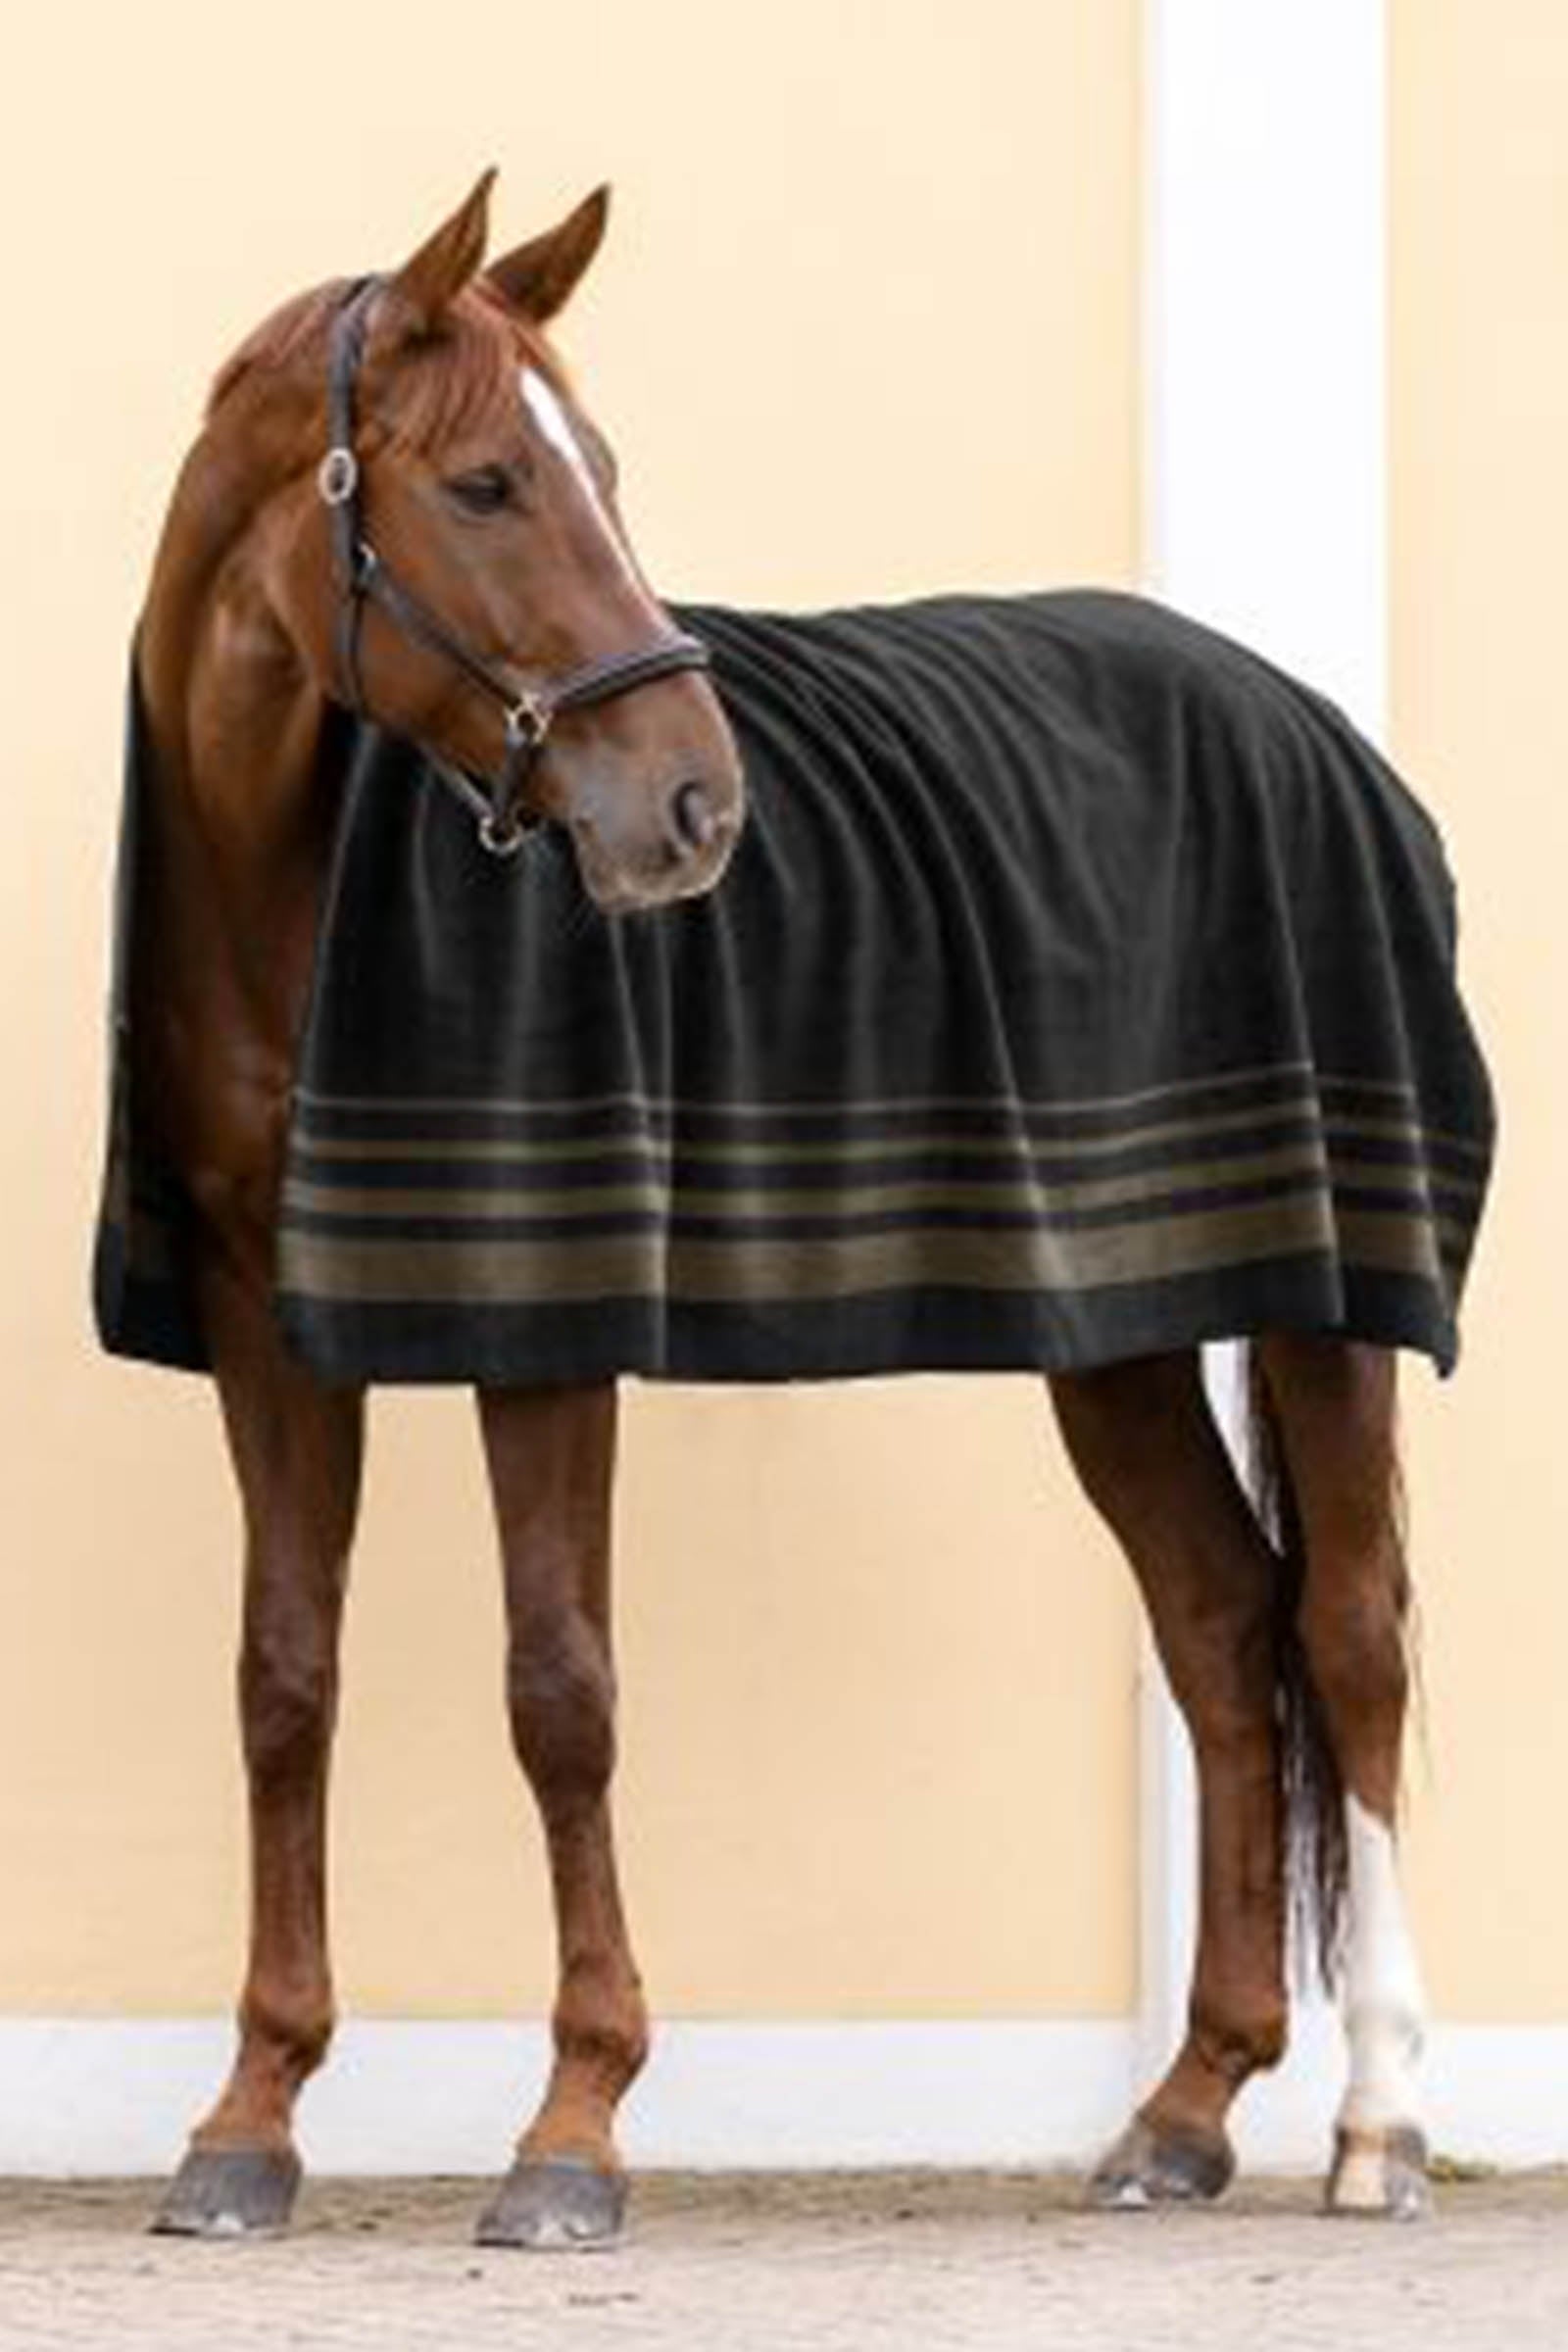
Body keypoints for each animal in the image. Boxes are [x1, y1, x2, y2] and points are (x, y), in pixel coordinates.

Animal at [99, 170, 1492, 2247]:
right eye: (490, 482)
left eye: (602, 468)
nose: (695, 811)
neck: (283, 899)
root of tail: (1315, 730)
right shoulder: (270, 1321)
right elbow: (284, 1680)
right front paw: (249, 2122)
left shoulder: (544, 1316)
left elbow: (561, 1690)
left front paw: (574, 2129)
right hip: (1123, 1330)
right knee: (1217, 1623)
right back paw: (1179, 2113)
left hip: (1329, 1305)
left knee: (1351, 1638)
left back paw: (1379, 2127)